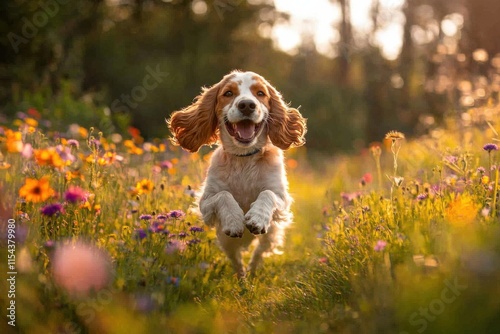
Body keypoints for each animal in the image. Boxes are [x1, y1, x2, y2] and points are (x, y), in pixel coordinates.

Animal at [169, 70, 304, 276]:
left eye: (260, 93)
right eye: (228, 93)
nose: (247, 105)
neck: (243, 159)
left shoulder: (282, 198)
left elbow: (267, 194)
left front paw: (257, 218)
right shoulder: (205, 203)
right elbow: (224, 195)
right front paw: (234, 221)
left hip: (270, 237)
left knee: (257, 255)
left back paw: (252, 273)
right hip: (226, 242)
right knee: (236, 260)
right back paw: (242, 277)